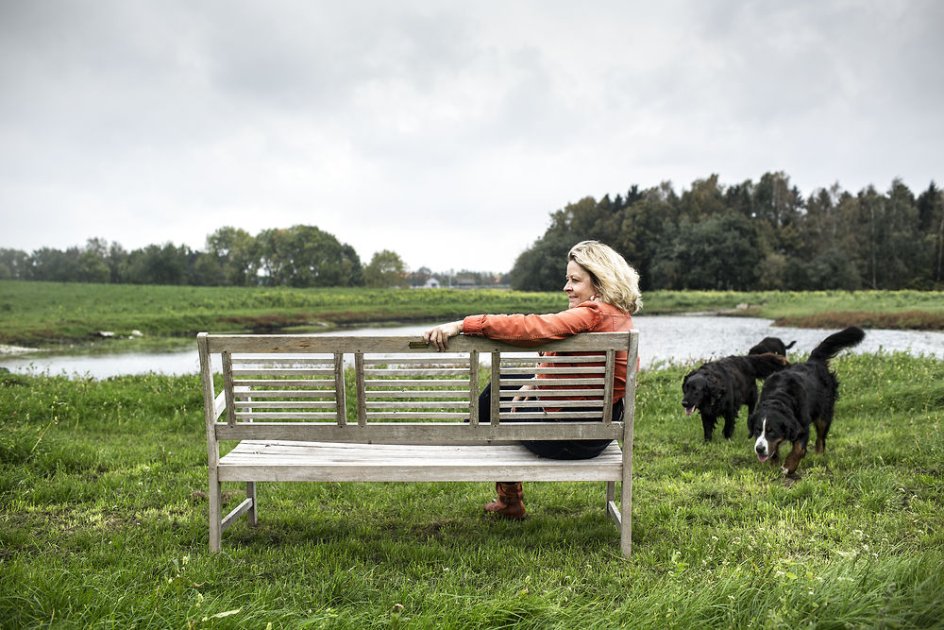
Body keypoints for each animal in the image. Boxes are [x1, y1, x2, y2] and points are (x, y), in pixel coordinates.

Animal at [748, 328, 868, 476]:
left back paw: (818, 455)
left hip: (824, 414)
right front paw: (774, 465)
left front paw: (789, 466)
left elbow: (799, 449)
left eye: (772, 431)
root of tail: (813, 361)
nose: (759, 449)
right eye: (757, 430)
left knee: (821, 438)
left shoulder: (802, 426)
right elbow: (774, 450)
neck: (779, 397)